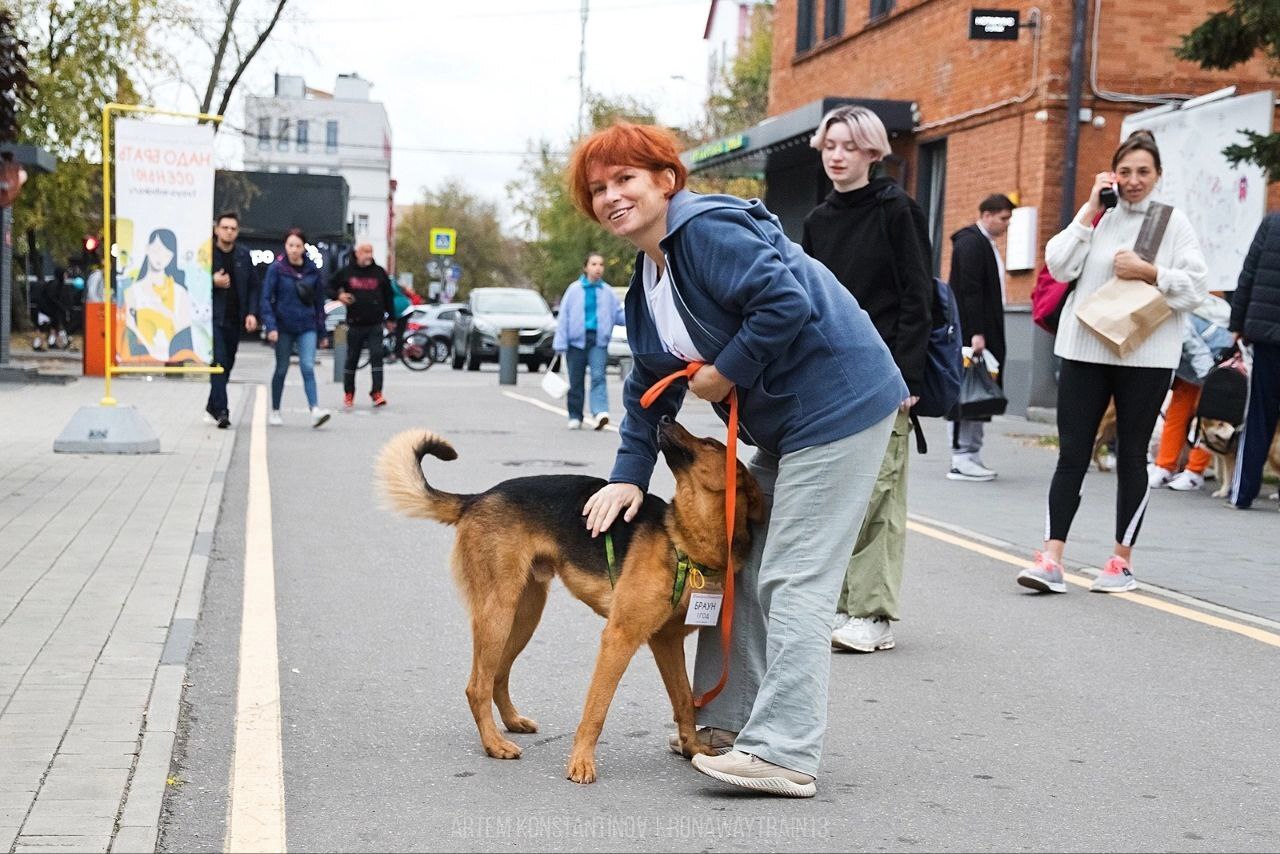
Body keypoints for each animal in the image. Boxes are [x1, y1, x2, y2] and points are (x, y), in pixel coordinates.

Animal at [376, 417, 757, 783]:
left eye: (709, 443)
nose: (663, 417)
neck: (684, 539)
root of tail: (478, 498)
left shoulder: (666, 640)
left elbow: (684, 700)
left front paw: (692, 748)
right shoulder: (619, 638)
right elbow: (596, 710)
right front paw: (581, 763)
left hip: (524, 616)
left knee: (498, 674)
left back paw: (511, 721)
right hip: (498, 614)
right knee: (477, 686)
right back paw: (493, 743)